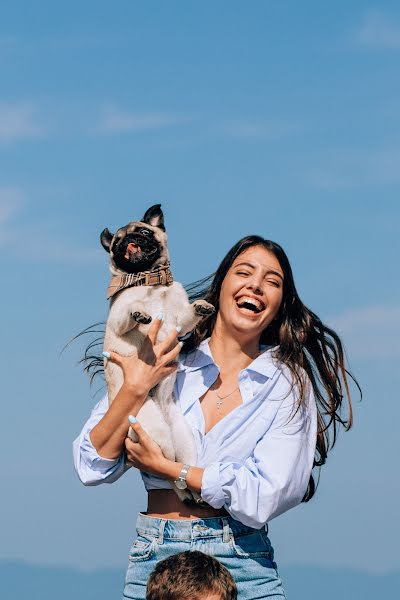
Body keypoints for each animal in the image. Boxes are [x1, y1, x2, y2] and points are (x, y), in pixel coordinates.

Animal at [101, 204, 214, 500]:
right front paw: (140, 312)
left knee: (182, 466)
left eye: (143, 232)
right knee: (165, 466)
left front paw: (202, 306)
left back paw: (196, 493)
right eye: (116, 244)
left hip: (184, 439)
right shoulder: (118, 318)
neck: (151, 282)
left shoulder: (180, 320)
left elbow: (189, 314)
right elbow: (131, 311)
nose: (129, 242)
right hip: (155, 429)